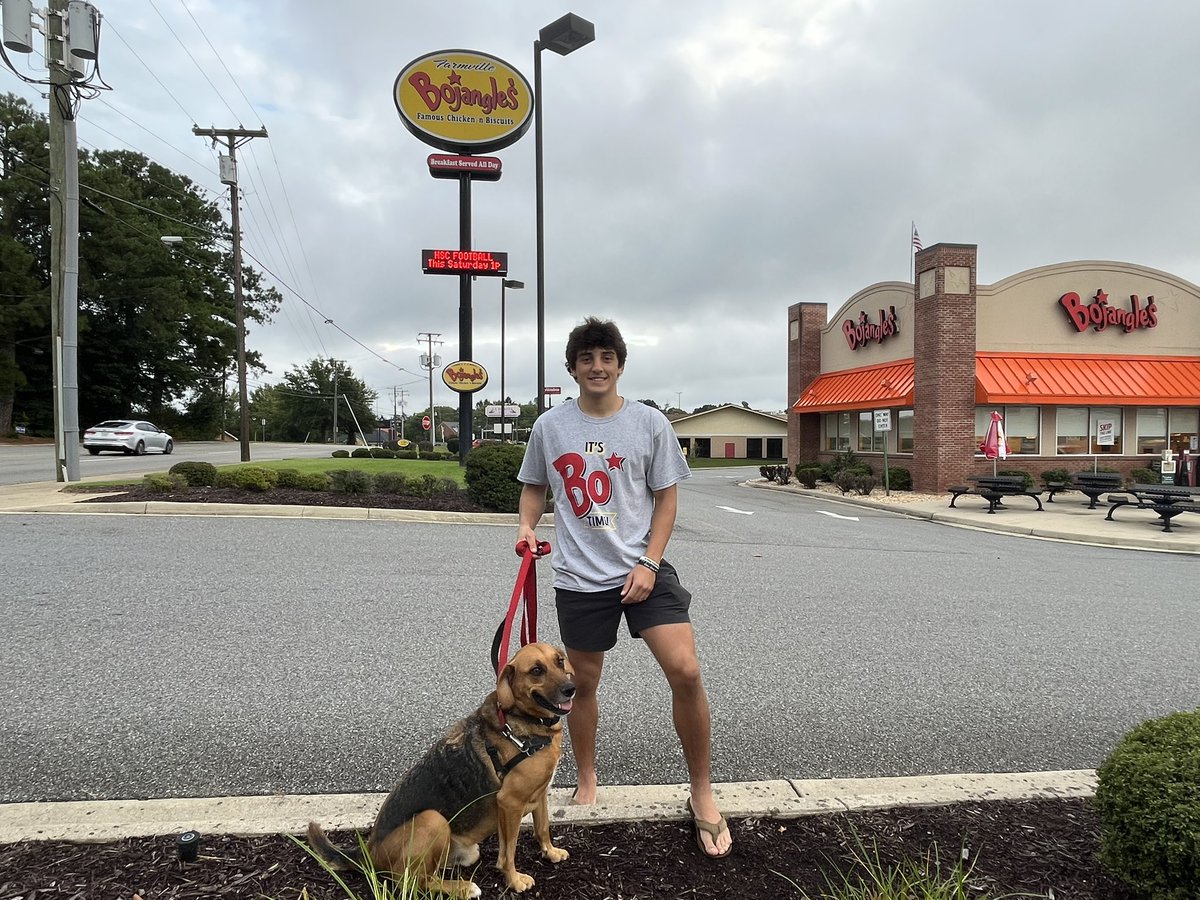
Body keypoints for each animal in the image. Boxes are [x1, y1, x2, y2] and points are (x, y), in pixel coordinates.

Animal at [307, 643, 573, 897]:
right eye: (536, 670)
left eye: (559, 661)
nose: (571, 688)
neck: (525, 722)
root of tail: (369, 852)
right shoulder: (510, 803)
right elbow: (508, 852)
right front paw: (515, 881)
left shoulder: (541, 793)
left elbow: (542, 828)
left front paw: (550, 852)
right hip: (433, 820)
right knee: (417, 882)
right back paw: (465, 888)